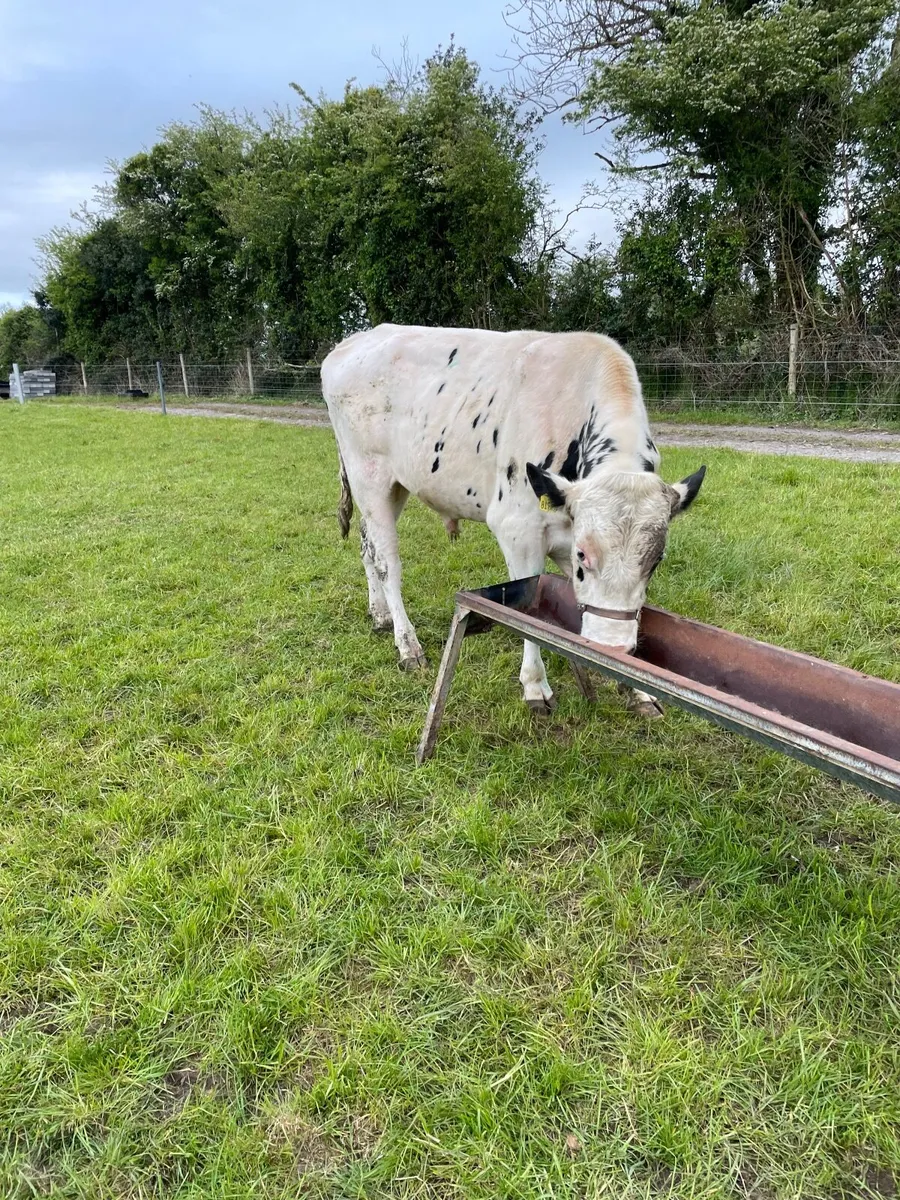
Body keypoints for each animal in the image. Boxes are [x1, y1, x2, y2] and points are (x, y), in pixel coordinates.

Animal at [321, 324, 706, 714]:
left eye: (656, 560)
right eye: (584, 554)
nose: (611, 646)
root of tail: (354, 340)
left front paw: (636, 688)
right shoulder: (517, 527)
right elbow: (529, 613)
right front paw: (535, 685)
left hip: (395, 485)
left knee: (367, 546)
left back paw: (380, 614)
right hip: (369, 477)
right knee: (387, 561)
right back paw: (407, 644)